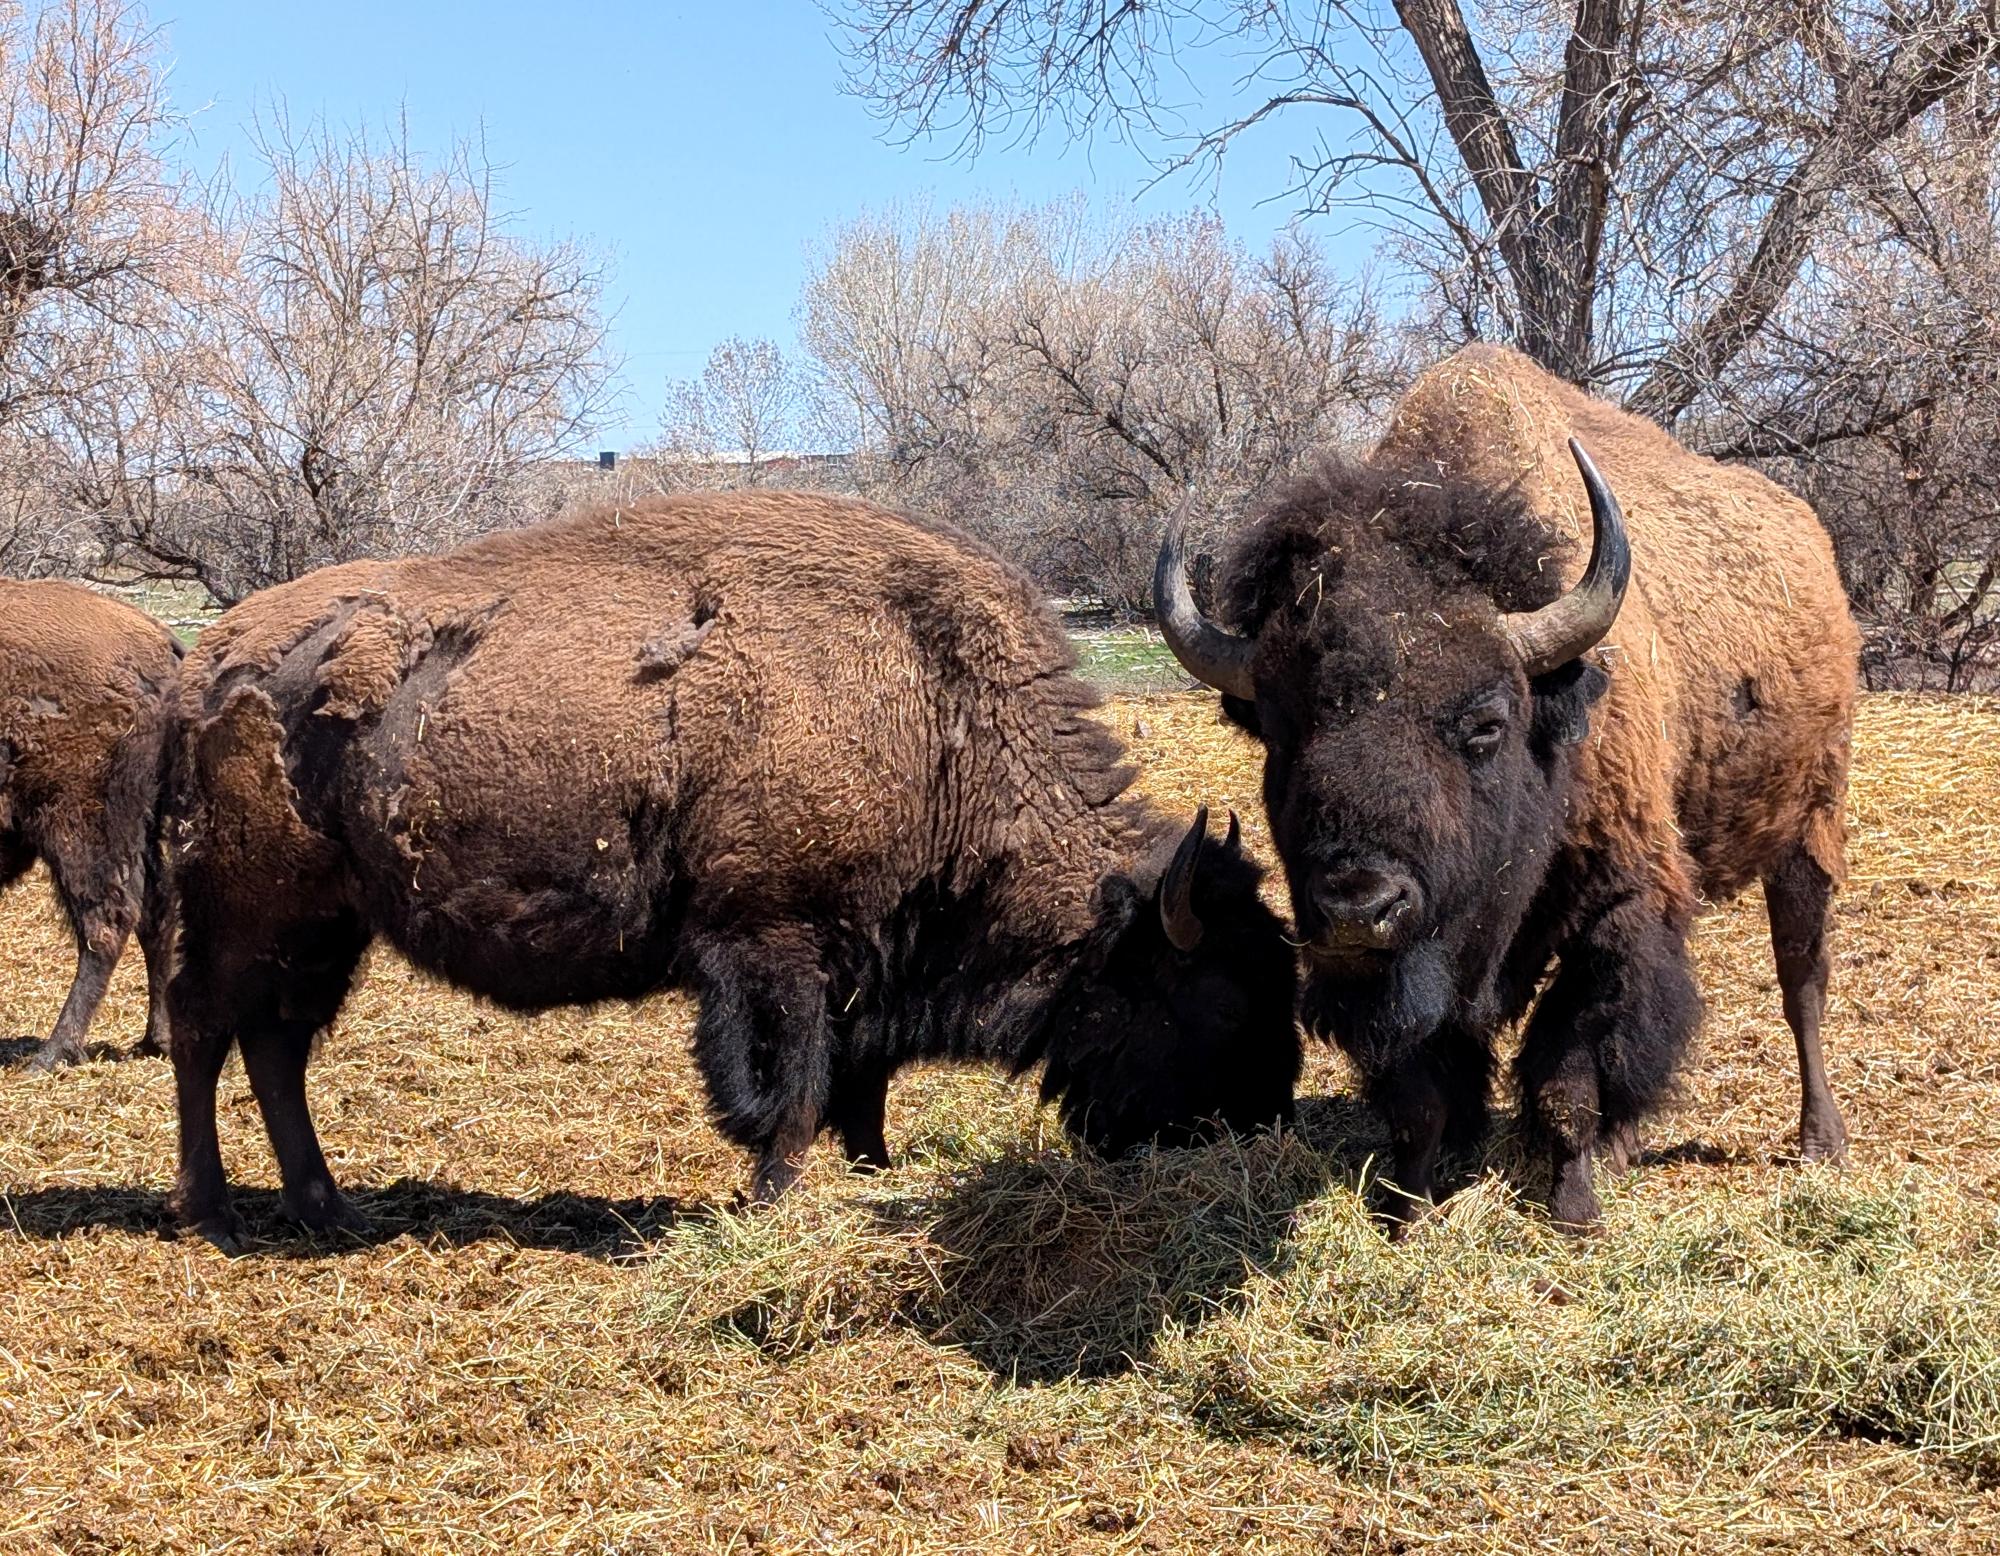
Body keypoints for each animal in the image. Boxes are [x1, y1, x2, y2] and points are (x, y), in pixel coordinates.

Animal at [1, 579, 180, 1070]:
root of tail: (157, 638)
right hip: (139, 825)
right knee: (156, 911)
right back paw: (157, 1040)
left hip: (77, 822)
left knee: (107, 919)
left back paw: (52, 1054)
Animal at [163, 491, 1301, 1244]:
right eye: (1220, 996)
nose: (1265, 1122)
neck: (936, 713)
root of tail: (209, 655)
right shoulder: (772, 945)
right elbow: (789, 1085)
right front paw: (772, 1195)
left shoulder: (857, 964)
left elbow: (855, 1084)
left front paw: (864, 1171)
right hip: (250, 910)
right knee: (206, 1028)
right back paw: (215, 1212)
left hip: (324, 923)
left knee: (273, 1042)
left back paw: (324, 1208)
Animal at [1157, 345, 1859, 1231]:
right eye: (1280, 732)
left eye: (1484, 724)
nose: (1358, 907)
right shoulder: (1425, 966)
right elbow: (1424, 1094)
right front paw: (1407, 1209)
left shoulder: (1618, 912)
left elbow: (1570, 1075)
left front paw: (1573, 1210)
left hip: (1809, 824)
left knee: (1803, 981)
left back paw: (1820, 1141)